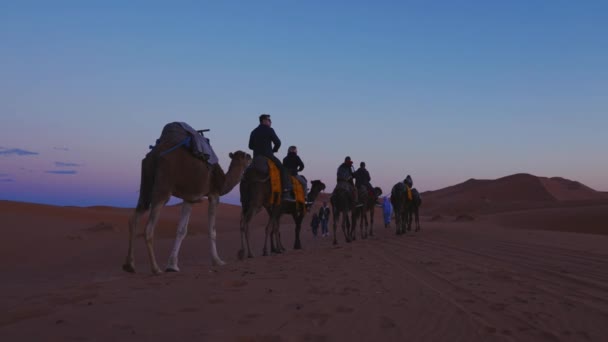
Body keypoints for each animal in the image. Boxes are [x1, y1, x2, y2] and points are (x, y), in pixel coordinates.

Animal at [122, 127, 251, 274]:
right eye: (246, 156)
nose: (251, 157)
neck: (223, 181)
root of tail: (154, 155)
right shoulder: (214, 194)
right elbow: (212, 231)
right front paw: (218, 261)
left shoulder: (189, 198)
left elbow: (181, 231)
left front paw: (172, 266)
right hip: (163, 187)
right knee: (149, 228)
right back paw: (156, 269)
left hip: (146, 182)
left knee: (134, 218)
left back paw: (130, 265)